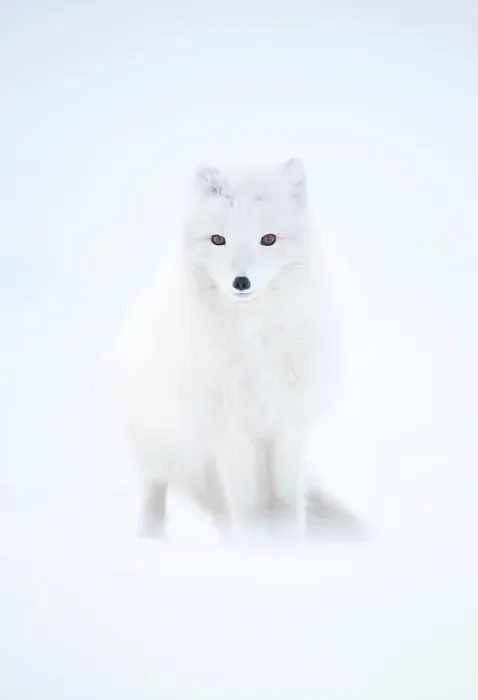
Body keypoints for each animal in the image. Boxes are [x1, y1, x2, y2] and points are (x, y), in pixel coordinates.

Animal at [114, 158, 358, 540]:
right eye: (218, 240)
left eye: (268, 239)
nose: (240, 282)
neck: (254, 339)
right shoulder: (231, 431)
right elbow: (248, 504)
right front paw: (253, 545)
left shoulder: (287, 423)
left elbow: (286, 501)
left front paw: (289, 542)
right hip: (160, 447)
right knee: (155, 492)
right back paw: (151, 539)